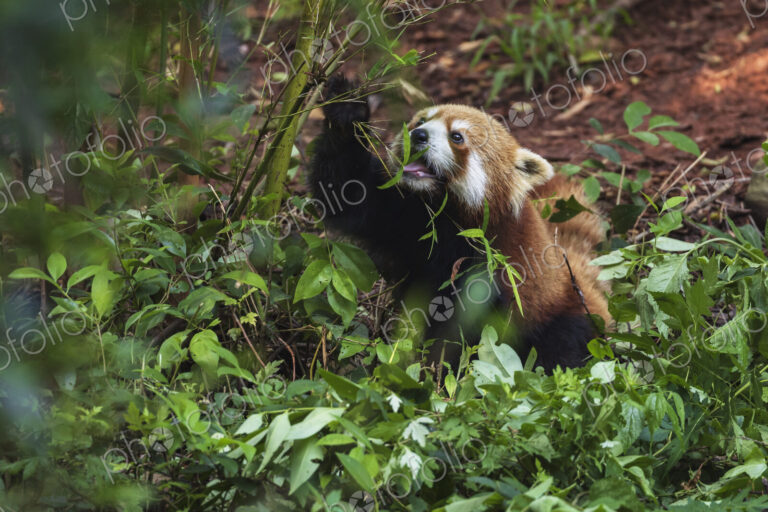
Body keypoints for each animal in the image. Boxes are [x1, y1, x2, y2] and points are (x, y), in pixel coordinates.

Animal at [309, 76, 610, 374]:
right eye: (420, 121)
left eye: (456, 136)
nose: (418, 135)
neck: (443, 215)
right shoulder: (398, 213)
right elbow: (346, 192)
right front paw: (346, 109)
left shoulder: (496, 260)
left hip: (563, 316)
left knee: (563, 350)